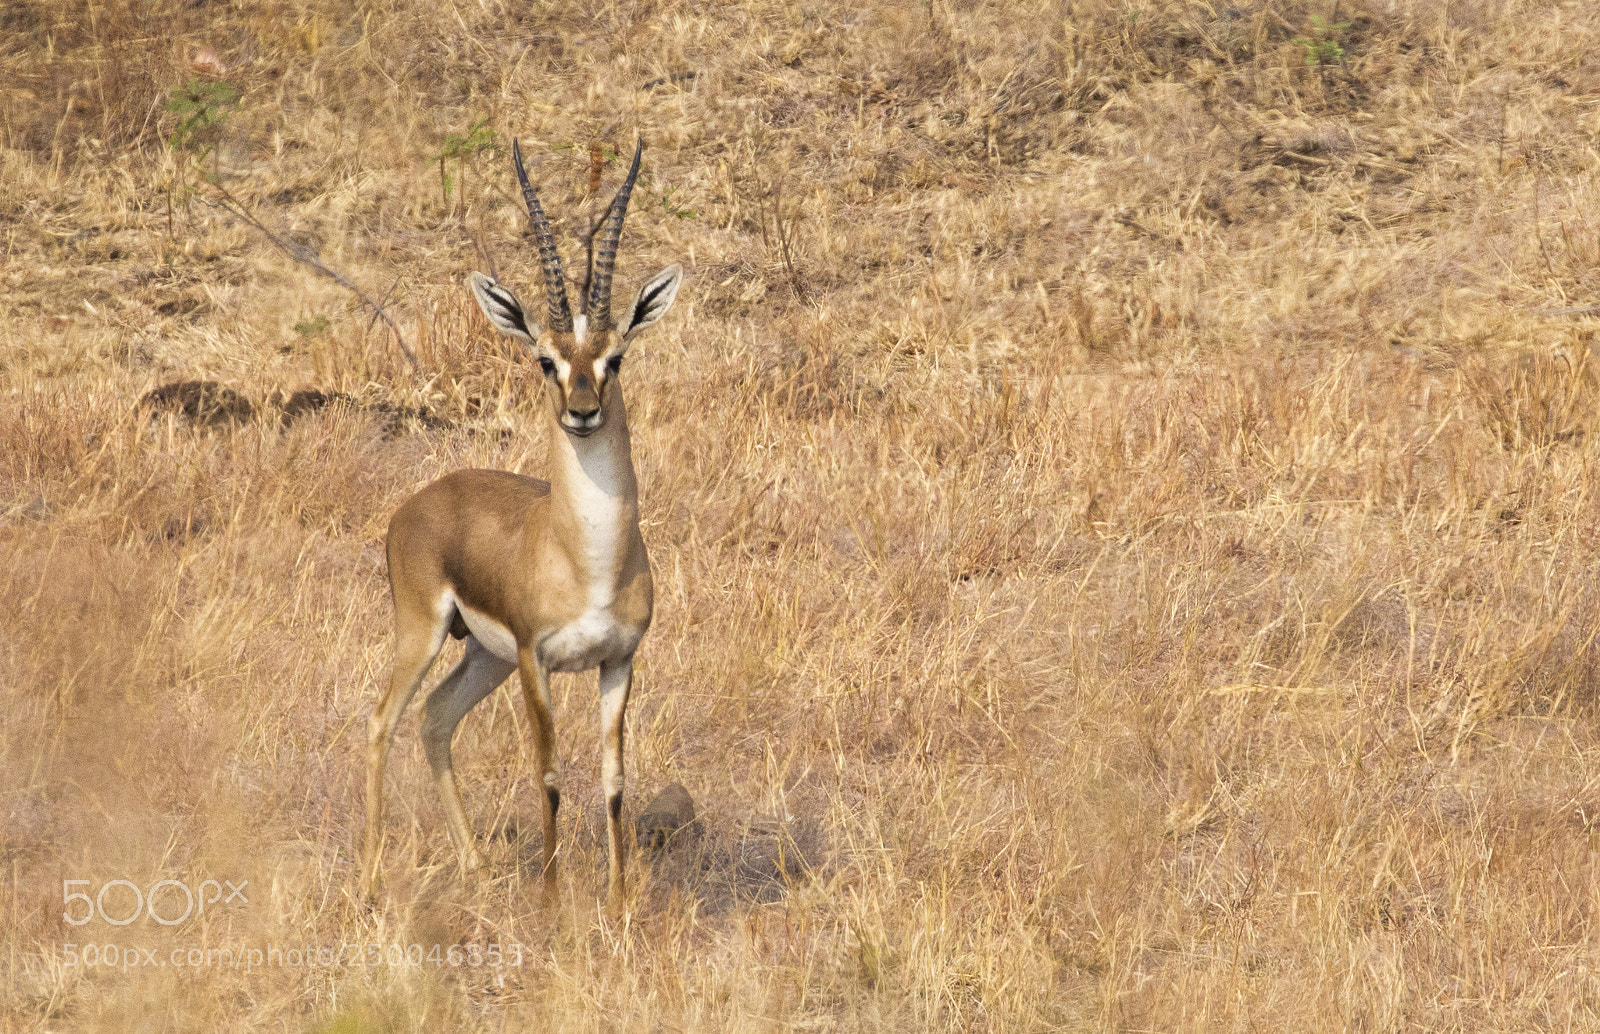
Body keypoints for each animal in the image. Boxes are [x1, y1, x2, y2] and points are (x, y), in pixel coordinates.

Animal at [362, 138, 682, 909]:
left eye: (615, 357)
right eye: (546, 360)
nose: (583, 412)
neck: (588, 561)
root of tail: (422, 499)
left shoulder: (619, 661)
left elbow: (614, 782)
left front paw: (618, 902)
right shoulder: (538, 661)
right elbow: (550, 773)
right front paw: (550, 898)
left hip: (483, 657)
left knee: (435, 717)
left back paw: (476, 866)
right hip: (425, 634)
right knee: (383, 721)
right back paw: (371, 879)